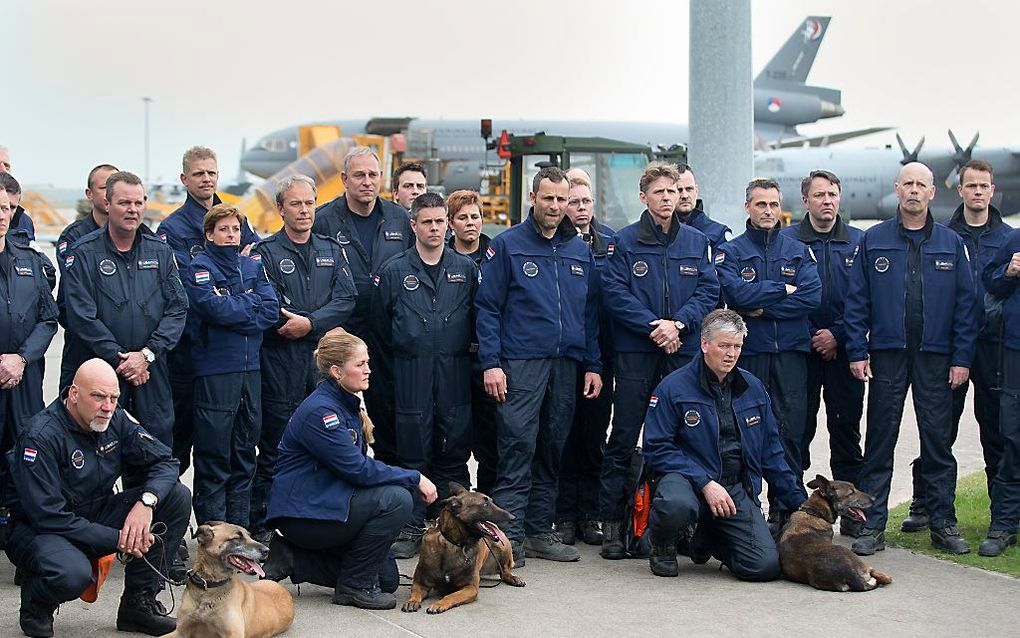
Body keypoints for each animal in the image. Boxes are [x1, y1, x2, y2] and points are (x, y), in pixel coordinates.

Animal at [160, 522, 295, 636]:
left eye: (249, 536)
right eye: (237, 538)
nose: (267, 550)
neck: (209, 586)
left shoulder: (234, 634)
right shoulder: (180, 631)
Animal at [399, 481, 526, 612]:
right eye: (485, 504)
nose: (513, 517)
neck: (454, 544)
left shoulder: (470, 588)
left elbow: (452, 595)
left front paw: (439, 604)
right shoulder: (420, 583)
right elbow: (415, 592)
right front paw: (412, 601)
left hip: (504, 547)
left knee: (505, 571)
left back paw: (514, 578)